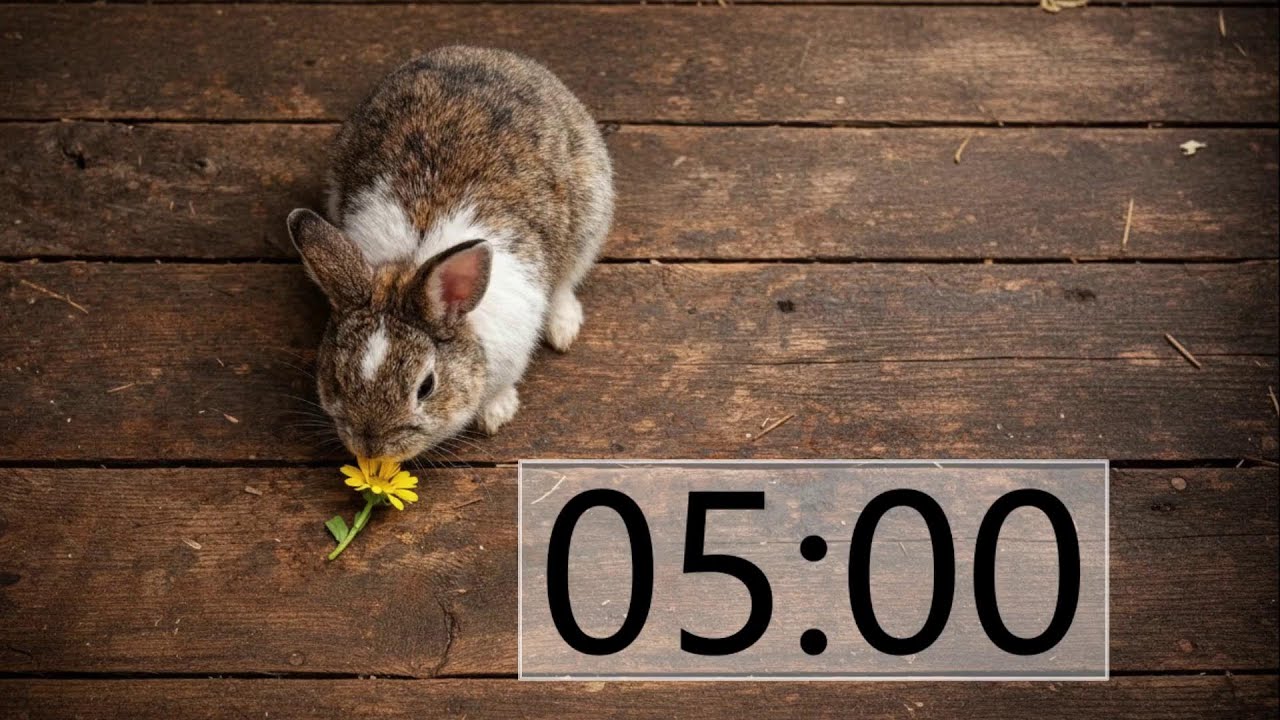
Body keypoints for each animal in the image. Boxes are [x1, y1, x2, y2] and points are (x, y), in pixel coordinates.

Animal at [285, 46, 613, 461]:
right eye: (338, 380)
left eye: (426, 387)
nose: (371, 447)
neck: (412, 263)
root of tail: (488, 53)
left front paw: (495, 414)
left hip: (592, 213)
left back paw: (562, 328)